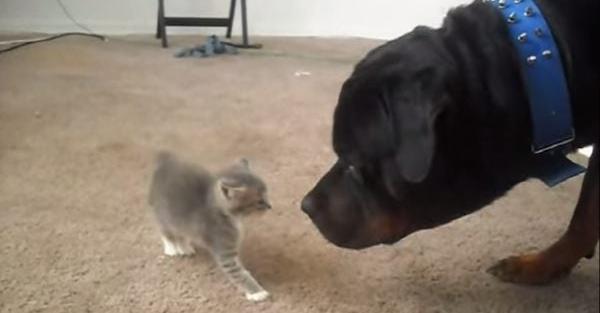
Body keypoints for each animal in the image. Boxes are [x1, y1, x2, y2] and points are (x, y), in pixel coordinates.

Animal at [148, 151, 272, 300]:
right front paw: (257, 292)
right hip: (164, 214)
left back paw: (185, 247)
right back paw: (172, 247)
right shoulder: (224, 251)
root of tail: (165, 164)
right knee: (166, 231)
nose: (270, 206)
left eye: (266, 194)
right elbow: (238, 273)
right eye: (259, 201)